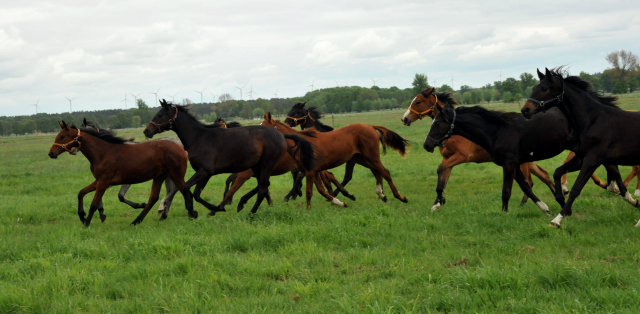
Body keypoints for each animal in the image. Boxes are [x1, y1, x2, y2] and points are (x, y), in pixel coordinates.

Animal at [47, 120, 195, 226]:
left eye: (62, 136)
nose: (51, 153)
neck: (103, 152)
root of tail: (181, 147)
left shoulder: (105, 181)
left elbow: (95, 203)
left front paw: (87, 222)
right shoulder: (100, 180)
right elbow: (81, 193)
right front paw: (82, 216)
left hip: (175, 174)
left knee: (183, 190)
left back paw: (190, 214)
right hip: (160, 176)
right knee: (155, 197)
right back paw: (138, 220)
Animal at [142, 99, 318, 215]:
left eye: (160, 114)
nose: (146, 131)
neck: (199, 138)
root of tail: (282, 135)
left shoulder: (205, 171)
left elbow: (186, 188)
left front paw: (201, 210)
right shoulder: (205, 173)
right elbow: (197, 193)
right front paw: (212, 208)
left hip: (266, 165)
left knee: (262, 189)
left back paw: (251, 213)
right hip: (257, 167)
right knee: (264, 187)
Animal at [398, 88, 556, 210]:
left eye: (418, 102)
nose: (404, 119)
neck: (454, 130)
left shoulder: (461, 156)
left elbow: (441, 170)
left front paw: (439, 201)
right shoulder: (448, 158)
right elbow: (443, 178)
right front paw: (437, 203)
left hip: (523, 163)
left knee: (530, 181)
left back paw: (526, 203)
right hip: (528, 160)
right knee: (544, 175)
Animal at [520, 67, 640, 227]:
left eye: (545, 88)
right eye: (534, 88)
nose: (525, 110)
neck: (592, 120)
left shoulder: (592, 160)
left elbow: (576, 188)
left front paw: (557, 219)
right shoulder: (582, 158)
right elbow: (558, 172)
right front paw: (561, 200)